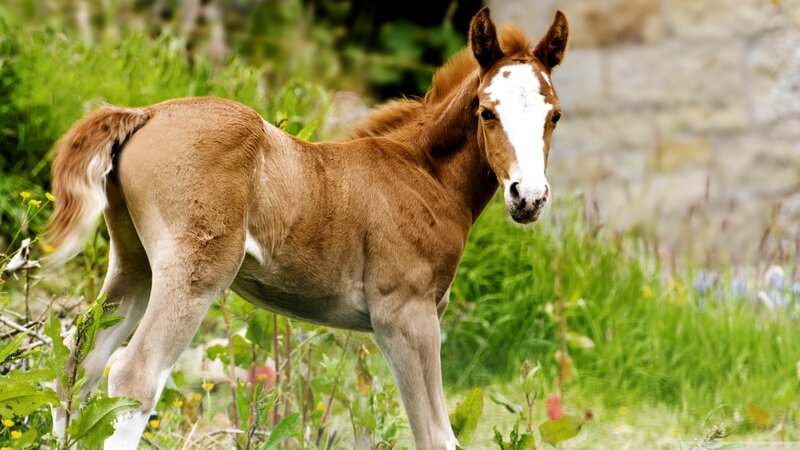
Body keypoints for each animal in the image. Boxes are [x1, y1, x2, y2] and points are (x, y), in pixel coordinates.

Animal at [46, 7, 568, 449]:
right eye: (487, 111)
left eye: (555, 115)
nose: (528, 196)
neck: (422, 174)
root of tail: (146, 113)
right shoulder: (405, 315)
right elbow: (436, 436)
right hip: (193, 272)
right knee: (133, 377)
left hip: (134, 263)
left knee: (79, 363)